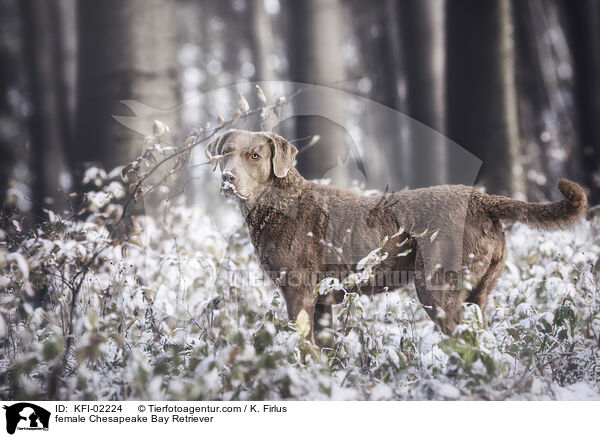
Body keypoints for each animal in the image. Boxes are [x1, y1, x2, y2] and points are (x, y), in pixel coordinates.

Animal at [207, 129, 584, 338]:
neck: (281, 203)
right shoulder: (323, 300)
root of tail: (481, 198)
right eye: (224, 153)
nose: (227, 179)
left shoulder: (298, 292)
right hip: (479, 292)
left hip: (436, 291)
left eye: (254, 155)